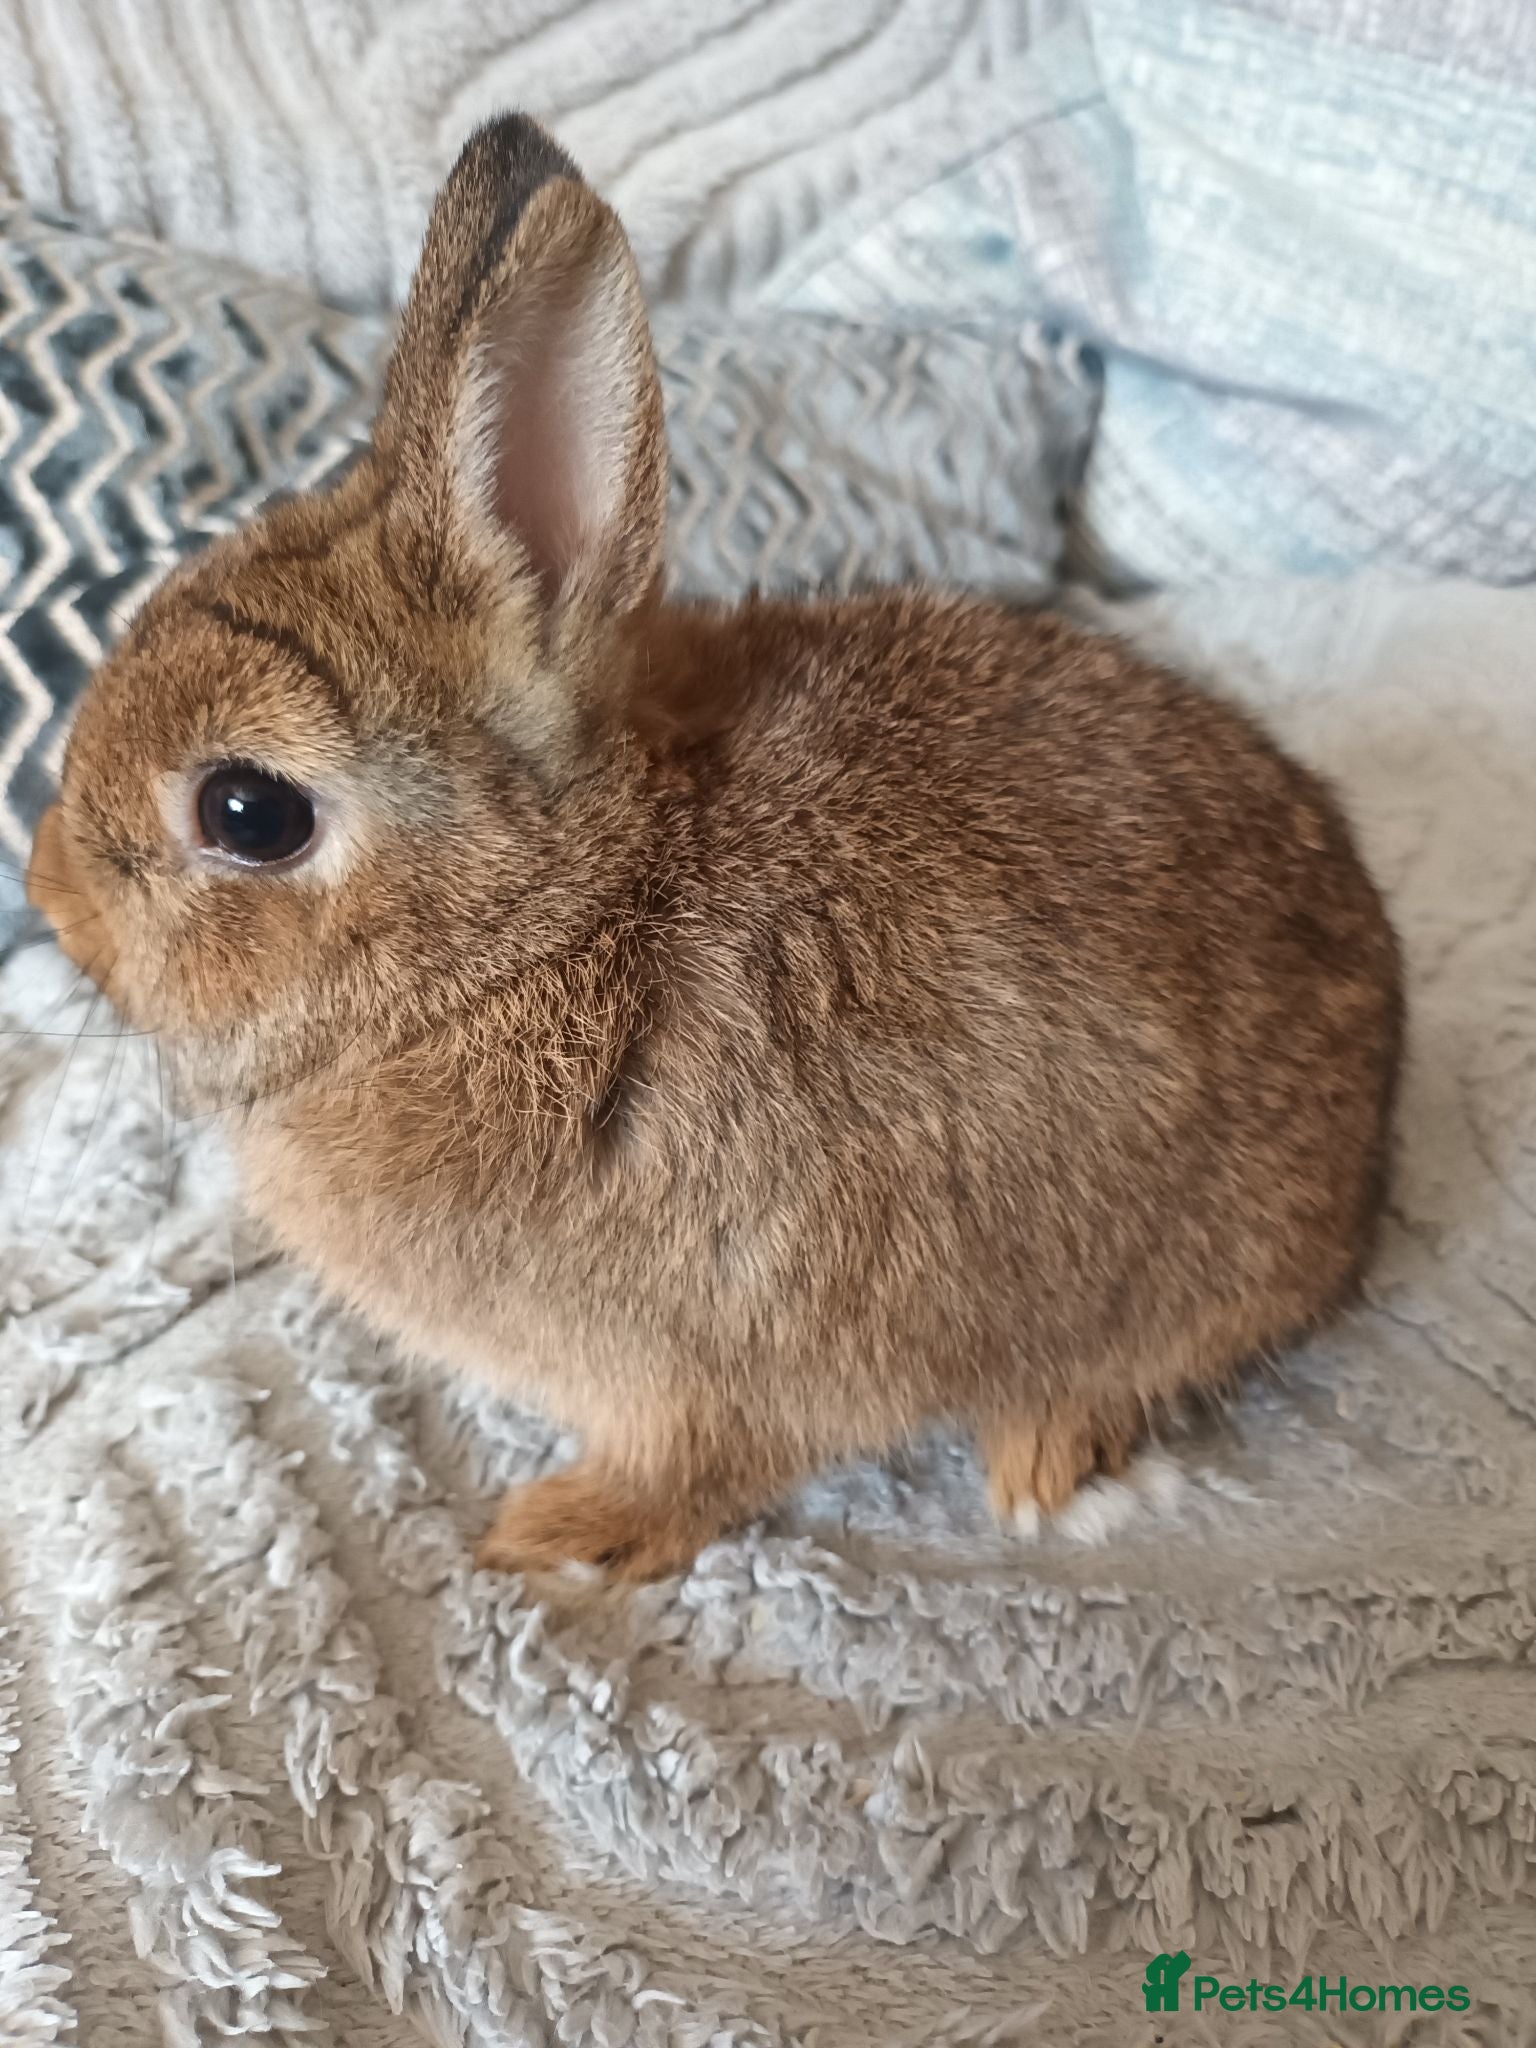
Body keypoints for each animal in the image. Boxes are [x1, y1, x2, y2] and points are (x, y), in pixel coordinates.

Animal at [27, 113, 1402, 1580]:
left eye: (247, 813)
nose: (47, 887)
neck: (545, 929)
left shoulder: (714, 1367)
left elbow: (697, 1468)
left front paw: (549, 1538)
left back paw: (1039, 1465)